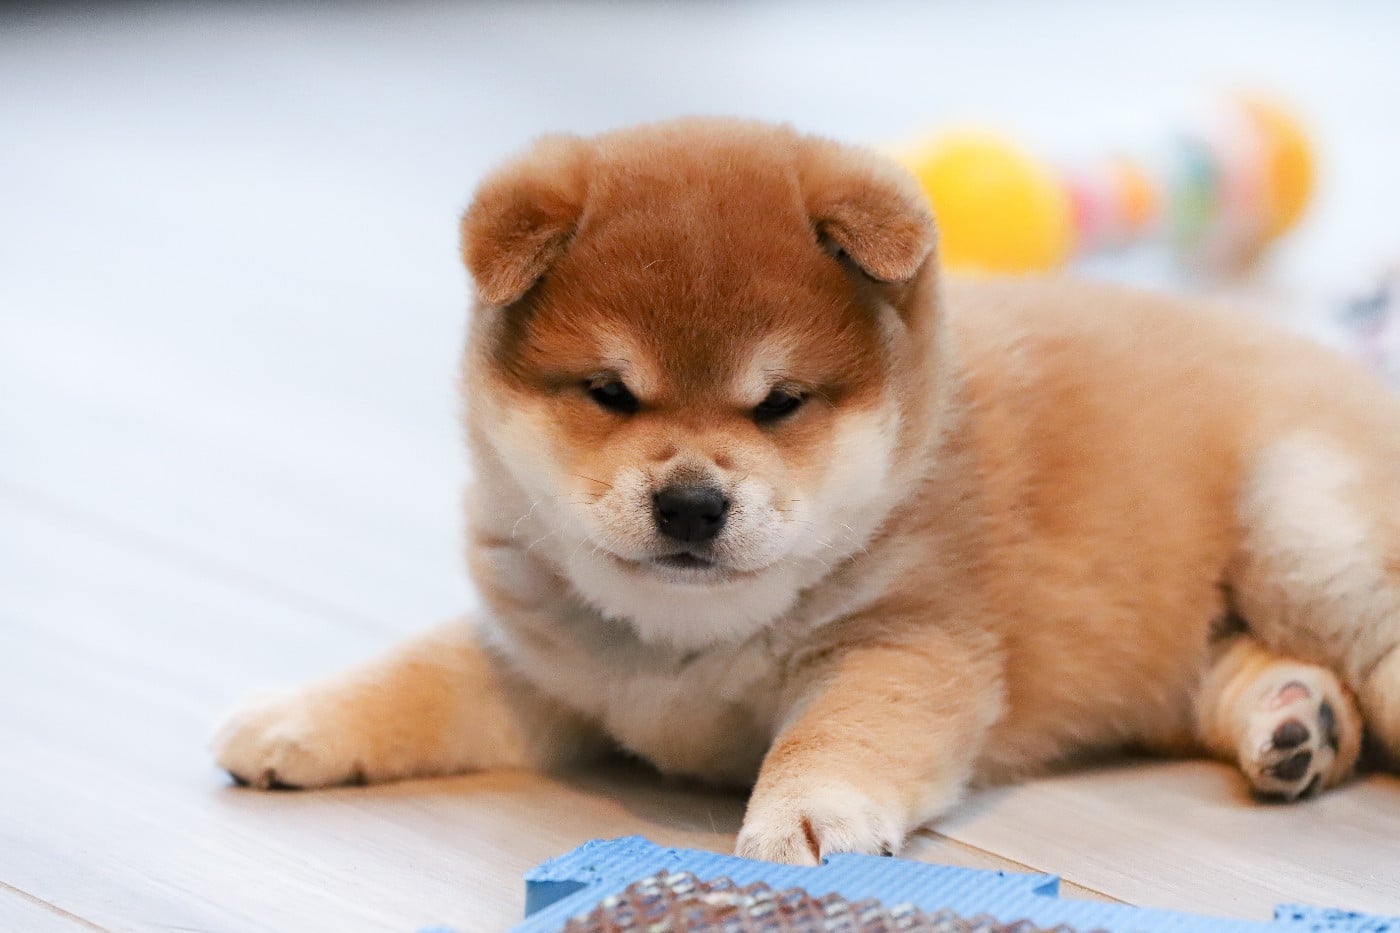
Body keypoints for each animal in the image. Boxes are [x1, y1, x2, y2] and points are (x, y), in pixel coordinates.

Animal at [214, 118, 1400, 865]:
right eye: (610, 393)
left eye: (778, 403)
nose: (691, 503)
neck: (685, 639)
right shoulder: (538, 659)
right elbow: (417, 676)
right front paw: (299, 716)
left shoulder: (898, 645)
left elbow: (834, 739)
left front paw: (808, 815)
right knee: (1248, 665)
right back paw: (1294, 726)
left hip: (1301, 532)